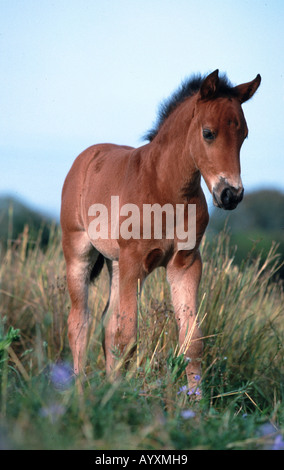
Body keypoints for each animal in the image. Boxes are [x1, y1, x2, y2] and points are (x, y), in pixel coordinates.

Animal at [61, 70, 260, 392]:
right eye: (208, 133)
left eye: (243, 135)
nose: (231, 194)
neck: (166, 188)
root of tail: (86, 157)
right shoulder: (134, 261)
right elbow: (128, 336)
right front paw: (121, 397)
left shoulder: (185, 263)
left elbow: (192, 340)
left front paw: (195, 402)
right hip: (79, 253)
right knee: (80, 322)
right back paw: (78, 393)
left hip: (117, 265)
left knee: (107, 324)